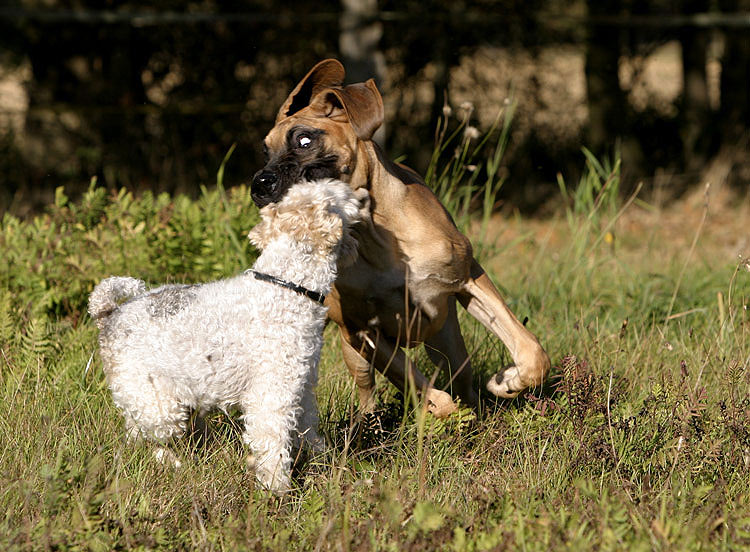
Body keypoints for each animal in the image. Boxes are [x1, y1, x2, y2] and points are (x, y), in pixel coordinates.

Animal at [89, 180, 366, 492]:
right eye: (334, 195)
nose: (361, 194)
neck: (288, 286)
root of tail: (108, 312)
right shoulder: (271, 394)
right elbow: (273, 443)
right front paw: (278, 489)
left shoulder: (302, 385)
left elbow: (307, 429)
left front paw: (322, 458)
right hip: (159, 407)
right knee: (146, 439)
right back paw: (173, 464)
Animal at [254, 60, 552, 416]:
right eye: (266, 152)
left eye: (304, 140)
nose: (259, 184)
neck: (376, 236)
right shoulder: (362, 332)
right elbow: (414, 380)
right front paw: (437, 406)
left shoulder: (470, 278)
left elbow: (532, 352)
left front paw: (508, 381)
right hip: (357, 354)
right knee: (369, 390)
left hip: (448, 342)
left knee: (464, 377)